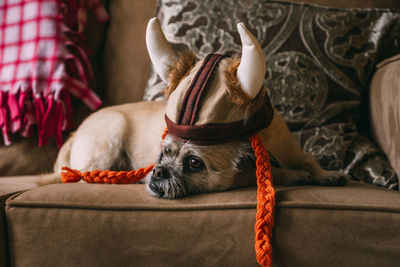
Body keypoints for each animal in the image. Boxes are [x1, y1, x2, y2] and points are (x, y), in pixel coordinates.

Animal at [39, 18, 348, 199]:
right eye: (164, 153)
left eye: (193, 163)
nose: (158, 171)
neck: (261, 140)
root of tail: (73, 136)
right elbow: (278, 173)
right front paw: (295, 175)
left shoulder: (293, 150)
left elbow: (309, 160)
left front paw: (325, 174)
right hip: (108, 139)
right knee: (84, 179)